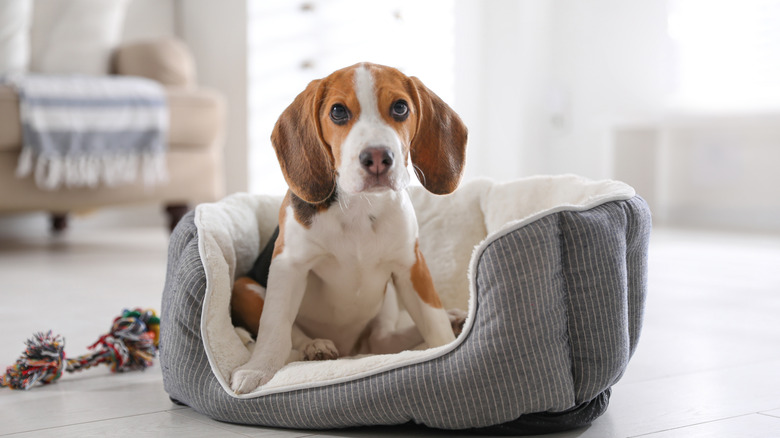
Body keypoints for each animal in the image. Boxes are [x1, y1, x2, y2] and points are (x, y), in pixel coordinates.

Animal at [229, 61, 466, 394]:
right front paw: (258, 370)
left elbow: (433, 320)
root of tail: (349, 348)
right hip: (243, 287)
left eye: (401, 108)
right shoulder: (288, 265)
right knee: (292, 336)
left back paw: (452, 319)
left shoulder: (411, 266)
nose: (378, 157)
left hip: (387, 301)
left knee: (381, 341)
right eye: (338, 111)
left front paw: (446, 348)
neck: (359, 206)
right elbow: (274, 327)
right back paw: (316, 346)